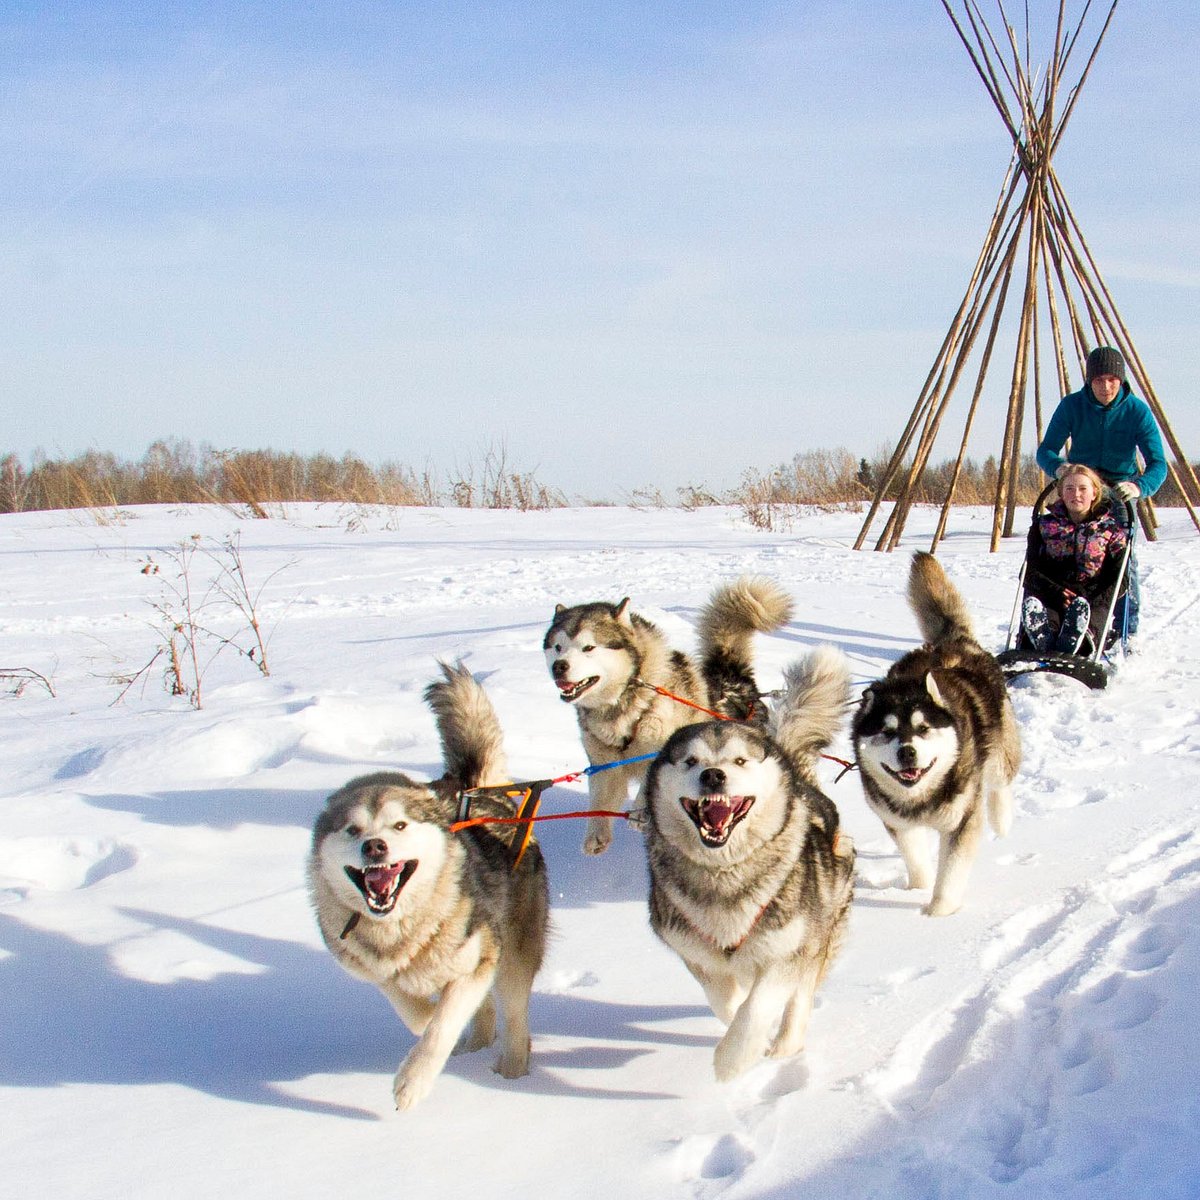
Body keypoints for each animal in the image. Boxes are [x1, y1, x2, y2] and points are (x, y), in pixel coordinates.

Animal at [309, 662, 552, 1108]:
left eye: (400, 825)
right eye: (353, 830)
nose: (374, 846)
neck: (401, 928)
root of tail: (473, 789)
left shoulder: (476, 961)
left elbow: (442, 1027)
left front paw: (412, 1081)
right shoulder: (374, 969)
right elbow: (407, 1004)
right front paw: (423, 1018)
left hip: (513, 951)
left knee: (513, 1015)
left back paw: (511, 1074)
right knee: (485, 1013)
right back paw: (476, 1047)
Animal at [542, 578, 787, 854]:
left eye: (589, 647)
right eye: (558, 647)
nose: (559, 666)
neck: (627, 705)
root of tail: (732, 674)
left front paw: (639, 810)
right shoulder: (604, 763)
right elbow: (600, 796)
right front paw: (596, 833)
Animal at [638, 648, 854, 1080]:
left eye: (740, 761)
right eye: (690, 761)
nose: (713, 776)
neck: (724, 872)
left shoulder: (788, 951)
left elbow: (758, 1007)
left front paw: (733, 1060)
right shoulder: (696, 954)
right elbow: (726, 1002)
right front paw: (738, 1033)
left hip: (820, 931)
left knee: (800, 998)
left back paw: (785, 1047)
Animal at [854, 552, 1022, 916]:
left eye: (923, 728)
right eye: (886, 731)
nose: (907, 752)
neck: (922, 799)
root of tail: (952, 641)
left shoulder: (961, 820)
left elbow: (952, 872)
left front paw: (937, 915)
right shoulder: (898, 822)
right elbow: (916, 858)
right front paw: (917, 888)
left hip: (999, 747)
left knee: (1000, 782)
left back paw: (1002, 820)